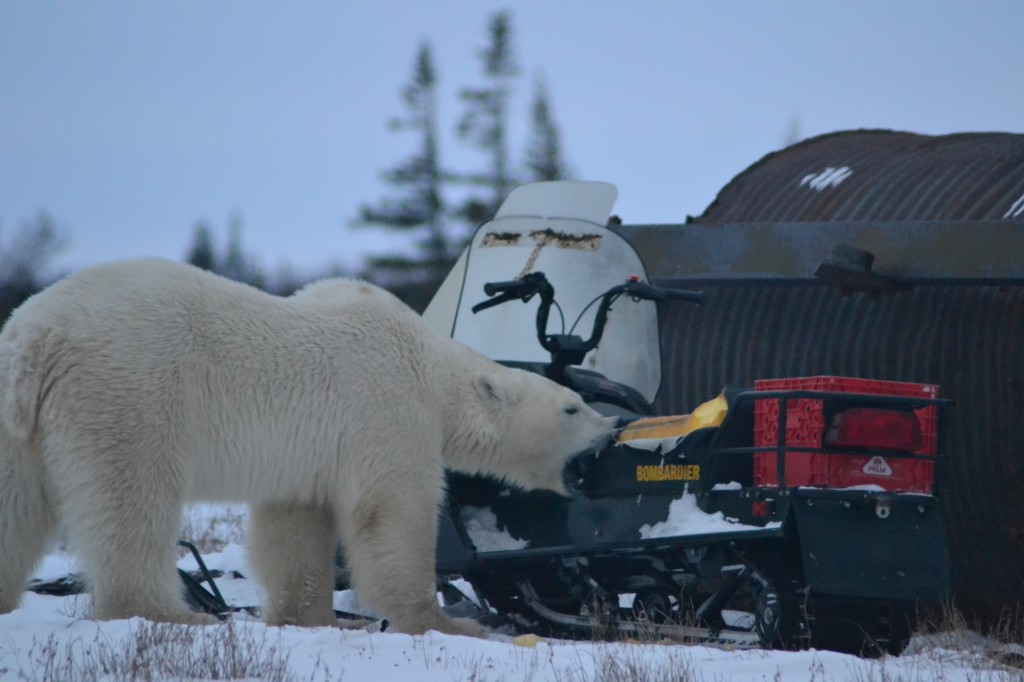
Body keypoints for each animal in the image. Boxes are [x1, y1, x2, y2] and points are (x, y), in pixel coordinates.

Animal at [0, 258, 618, 636]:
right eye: (572, 406)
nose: (612, 430)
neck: (427, 363)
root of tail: (38, 334)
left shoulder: (310, 452)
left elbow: (293, 525)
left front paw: (320, 618)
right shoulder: (385, 407)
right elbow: (393, 513)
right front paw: (446, 623)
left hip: (17, 420)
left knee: (17, 508)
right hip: (129, 390)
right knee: (131, 500)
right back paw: (175, 615)